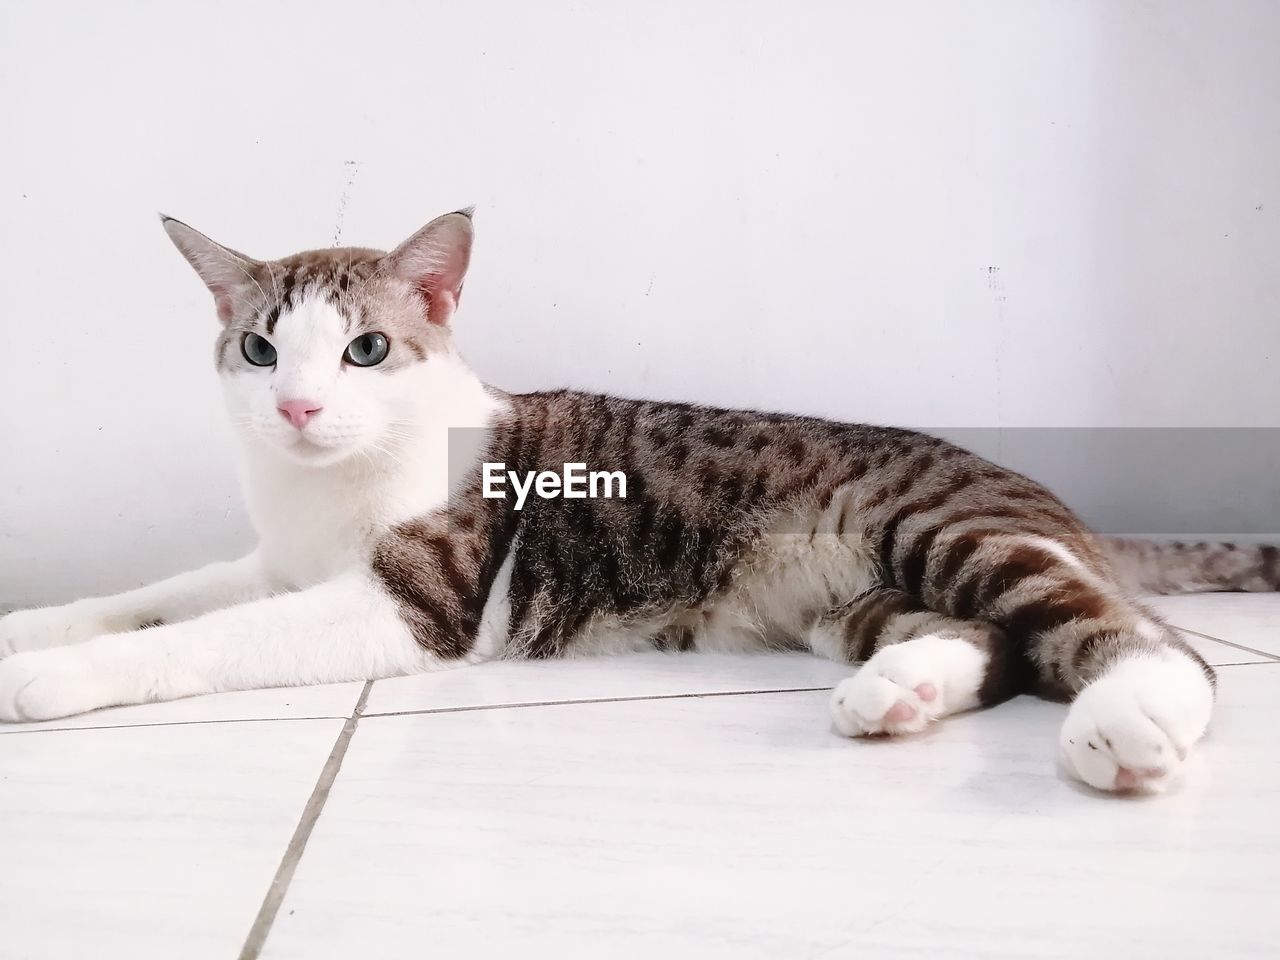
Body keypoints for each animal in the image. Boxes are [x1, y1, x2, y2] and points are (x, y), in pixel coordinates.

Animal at [5, 212, 1274, 798]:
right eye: (261, 350)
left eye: (367, 350)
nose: (300, 408)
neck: (329, 486)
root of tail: (1052, 507)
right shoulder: (276, 560)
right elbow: (163, 593)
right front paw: (34, 626)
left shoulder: (412, 599)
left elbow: (212, 635)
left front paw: (50, 677)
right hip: (850, 598)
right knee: (986, 642)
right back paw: (898, 692)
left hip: (935, 523)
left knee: (1142, 642)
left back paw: (1129, 718)